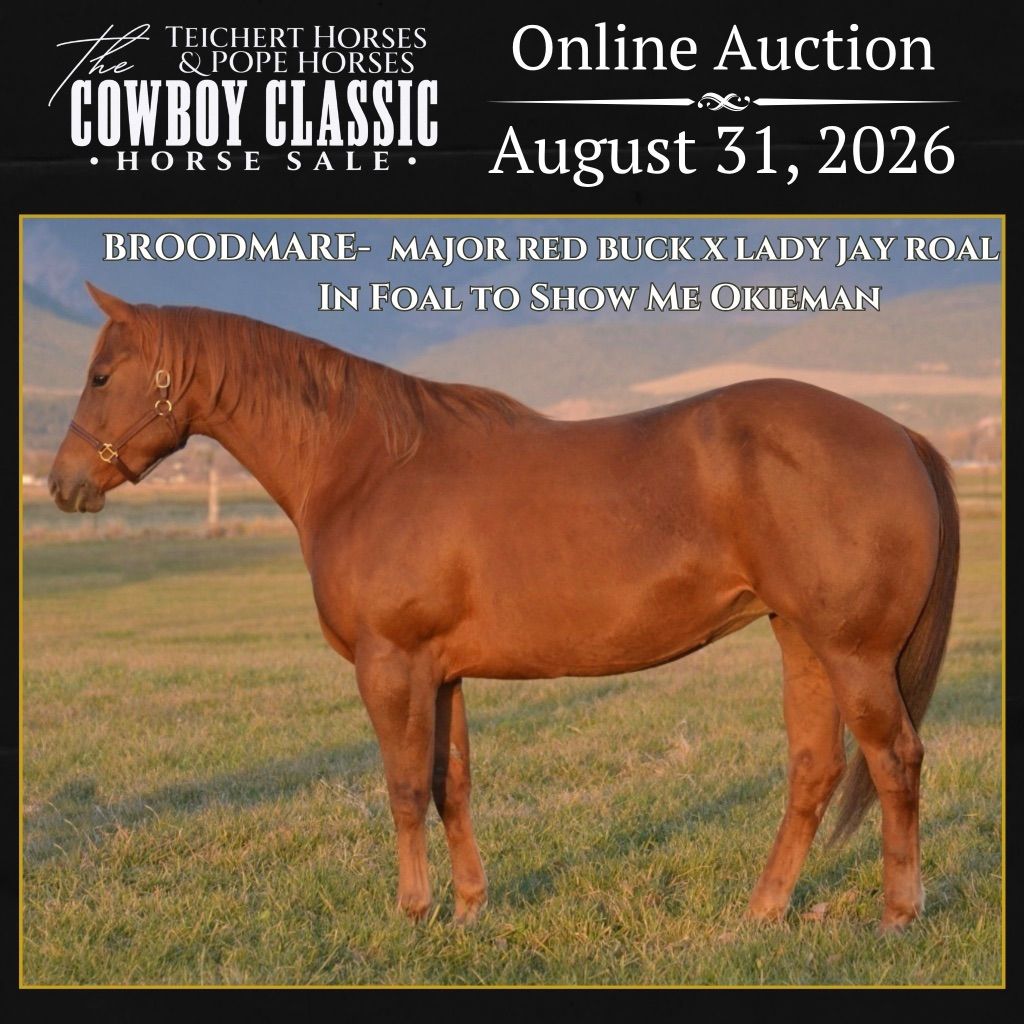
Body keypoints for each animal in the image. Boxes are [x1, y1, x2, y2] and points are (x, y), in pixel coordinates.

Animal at [47, 284, 959, 932]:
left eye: (100, 376)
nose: (62, 483)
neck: (368, 463)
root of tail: (901, 435)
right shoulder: (441, 672)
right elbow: (451, 783)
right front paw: (467, 910)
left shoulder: (391, 663)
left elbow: (403, 786)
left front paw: (413, 912)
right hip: (801, 642)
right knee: (815, 768)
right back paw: (762, 912)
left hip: (853, 655)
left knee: (895, 762)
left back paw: (896, 916)